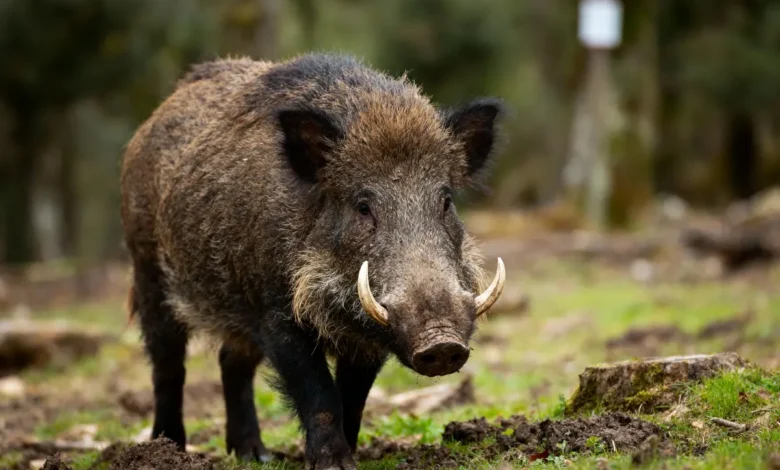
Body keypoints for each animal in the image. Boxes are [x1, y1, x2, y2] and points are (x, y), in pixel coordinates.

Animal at [120, 53, 506, 470]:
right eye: (363, 206)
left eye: (446, 201)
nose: (442, 342)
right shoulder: (277, 315)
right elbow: (319, 394)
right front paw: (333, 464)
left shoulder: (367, 337)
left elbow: (352, 398)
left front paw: (350, 456)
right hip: (149, 273)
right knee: (167, 365)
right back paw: (166, 448)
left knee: (231, 361)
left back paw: (255, 455)